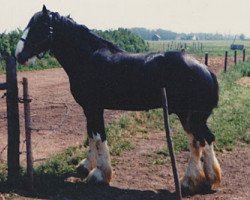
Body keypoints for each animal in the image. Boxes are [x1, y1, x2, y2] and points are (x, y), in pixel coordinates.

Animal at [15, 5, 221, 194]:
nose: (18, 55)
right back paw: (210, 179)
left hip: (189, 116)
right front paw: (86, 166)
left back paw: (188, 182)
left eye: (40, 27)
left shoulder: (95, 108)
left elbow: (99, 137)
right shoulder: (88, 109)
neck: (87, 58)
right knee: (207, 139)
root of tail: (205, 69)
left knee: (197, 142)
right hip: (195, 118)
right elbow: (91, 135)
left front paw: (99, 175)